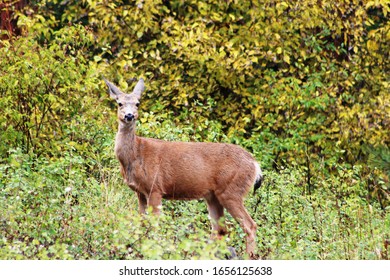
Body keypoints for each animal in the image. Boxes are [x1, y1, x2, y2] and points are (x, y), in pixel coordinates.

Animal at [103, 77, 264, 258]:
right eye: (119, 103)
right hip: (213, 196)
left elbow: (155, 225)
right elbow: (142, 224)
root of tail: (255, 165)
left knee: (249, 225)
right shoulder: (140, 192)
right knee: (220, 229)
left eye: (138, 103)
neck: (136, 154)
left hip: (231, 191)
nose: (129, 115)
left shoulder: (155, 188)